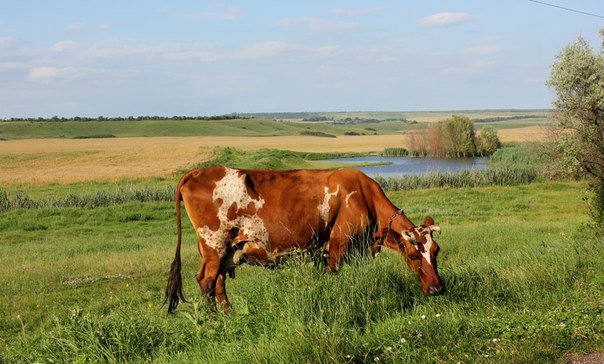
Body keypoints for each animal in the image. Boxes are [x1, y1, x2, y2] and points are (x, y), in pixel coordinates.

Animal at [165, 166, 444, 312]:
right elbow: (333, 276)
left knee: (219, 283)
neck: (364, 196)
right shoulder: (338, 245)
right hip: (214, 244)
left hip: (227, 251)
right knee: (206, 281)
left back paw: (229, 316)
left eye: (436, 251)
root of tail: (199, 171)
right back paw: (214, 321)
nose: (437, 288)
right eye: (412, 254)